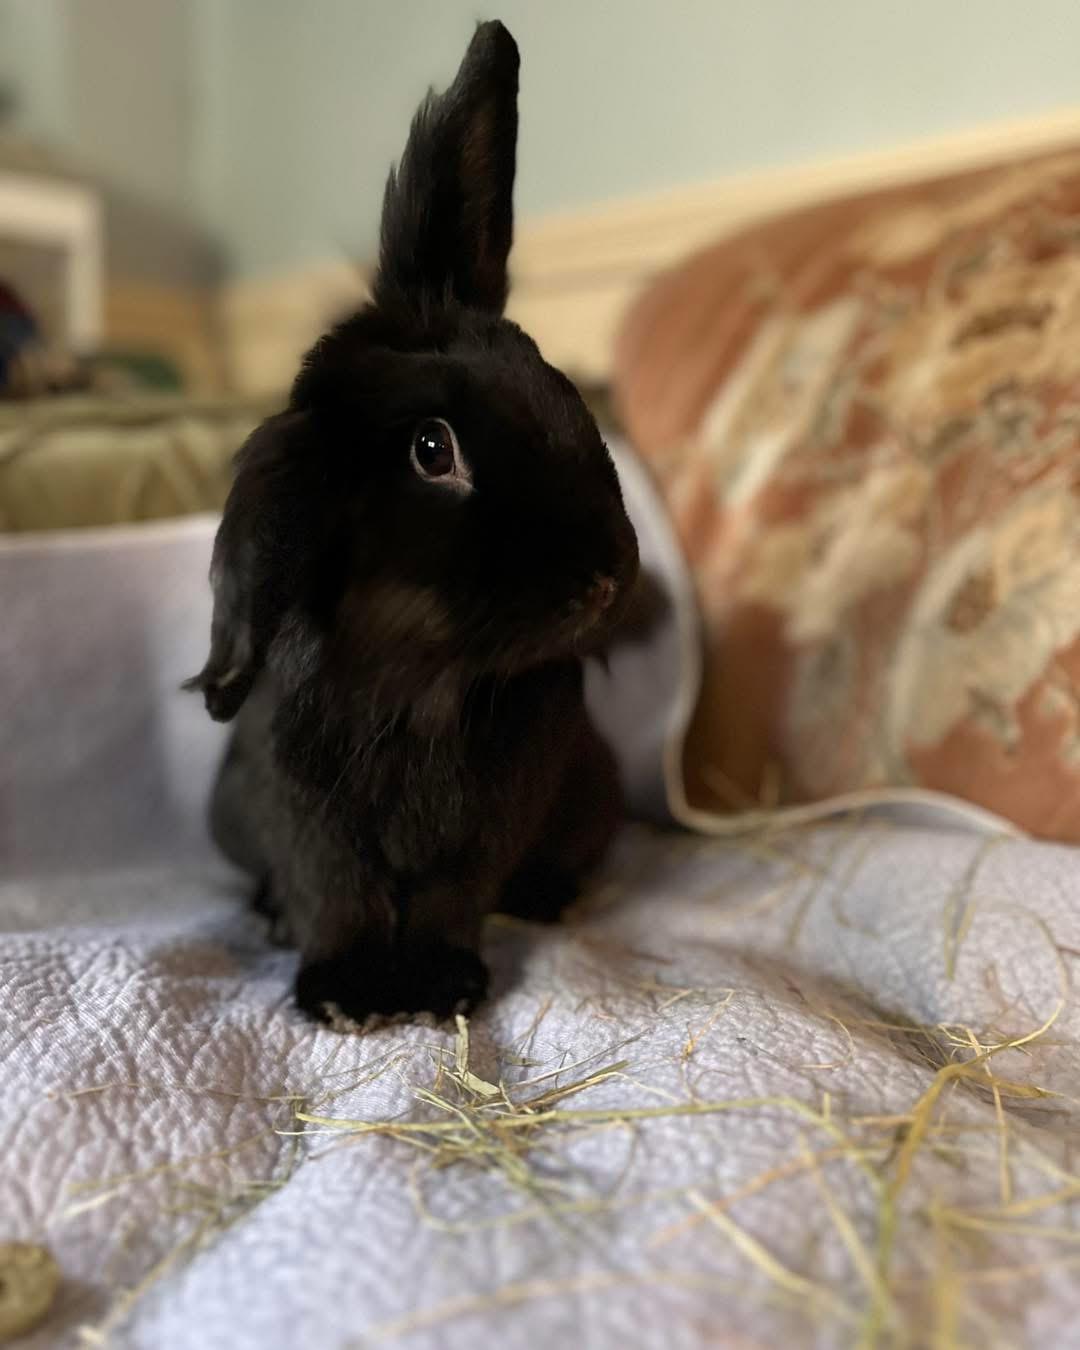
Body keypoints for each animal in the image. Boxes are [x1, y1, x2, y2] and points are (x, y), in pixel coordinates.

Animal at [186, 20, 640, 1025]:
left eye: (556, 387)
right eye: (434, 451)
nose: (607, 579)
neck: (424, 682)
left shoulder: (488, 828)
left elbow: (449, 897)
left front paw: (436, 988)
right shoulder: (304, 817)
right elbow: (337, 895)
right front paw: (349, 995)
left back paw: (548, 897)